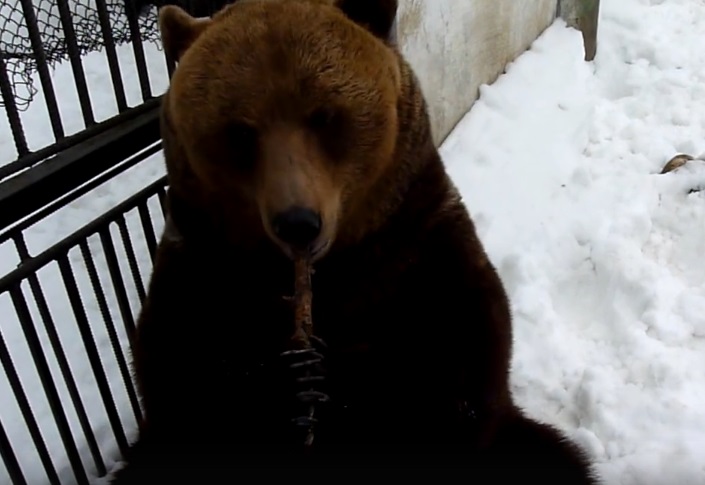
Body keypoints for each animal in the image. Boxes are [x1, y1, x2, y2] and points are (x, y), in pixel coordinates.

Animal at [111, 1, 600, 484]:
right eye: (240, 131)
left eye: (324, 116)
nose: (298, 222)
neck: (331, 271)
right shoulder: (204, 266)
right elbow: (181, 382)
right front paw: (293, 377)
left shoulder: (414, 244)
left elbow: (460, 364)